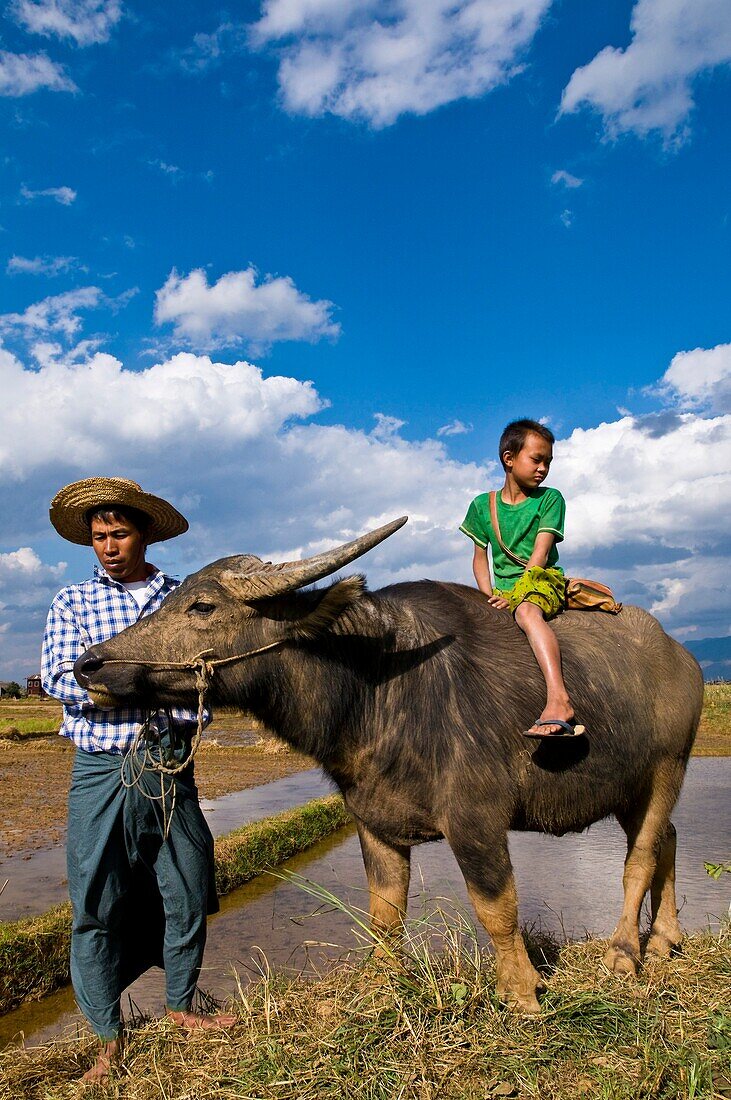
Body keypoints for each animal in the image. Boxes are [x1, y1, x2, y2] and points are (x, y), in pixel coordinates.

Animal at [74, 517, 703, 1012]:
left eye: (202, 606)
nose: (88, 664)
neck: (376, 690)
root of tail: (684, 657)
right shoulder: (373, 822)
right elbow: (384, 914)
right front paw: (382, 980)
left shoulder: (476, 820)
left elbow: (496, 906)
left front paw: (523, 992)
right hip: (629, 787)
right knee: (667, 839)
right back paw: (665, 937)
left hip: (669, 767)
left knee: (641, 857)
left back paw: (624, 952)